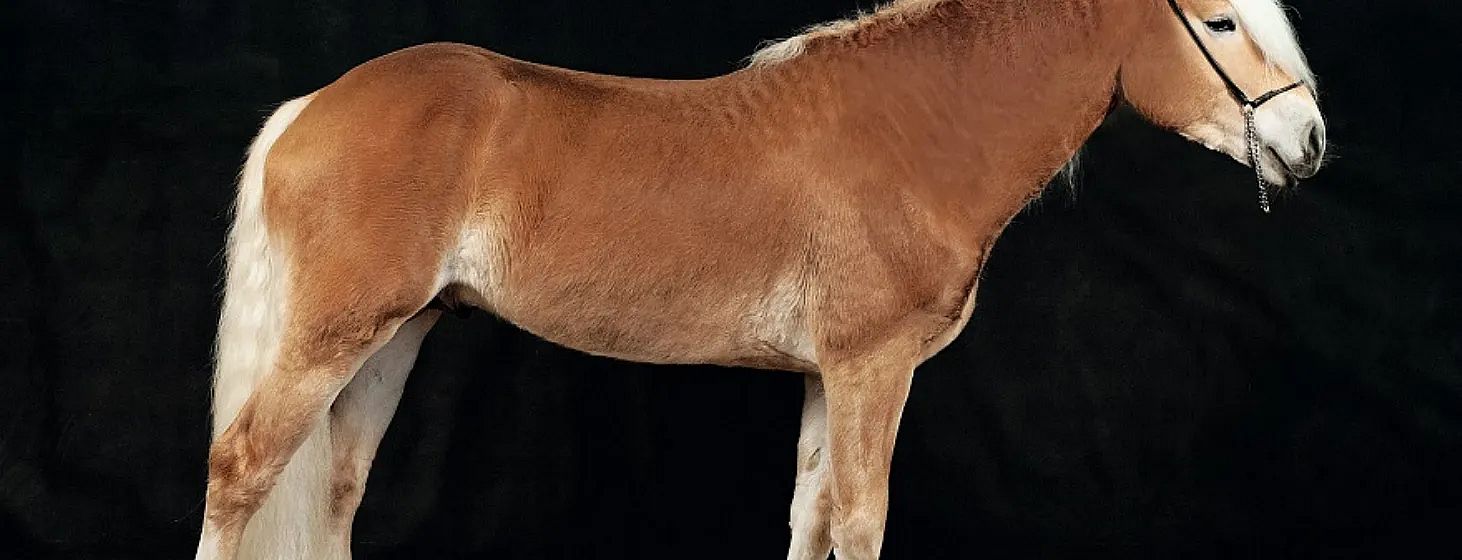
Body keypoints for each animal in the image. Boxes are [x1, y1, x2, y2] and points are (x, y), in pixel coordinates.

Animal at [194, 0, 1326, 558]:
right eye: (1221, 23)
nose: (1309, 141)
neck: (915, 132)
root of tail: (309, 106)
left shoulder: (830, 378)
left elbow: (811, 518)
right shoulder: (872, 371)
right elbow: (862, 523)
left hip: (397, 335)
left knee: (334, 494)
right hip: (334, 334)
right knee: (241, 470)